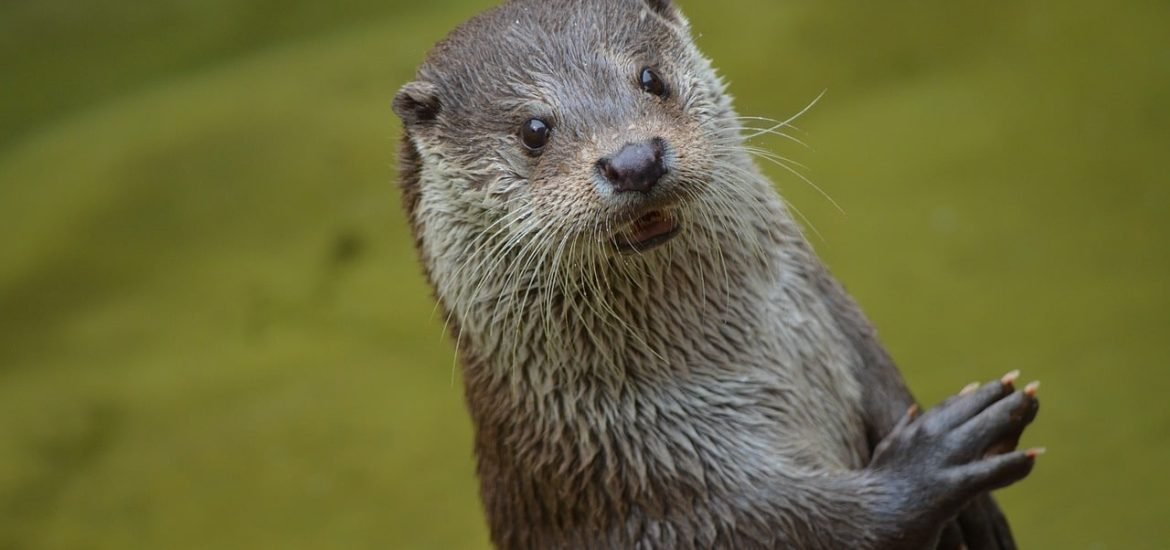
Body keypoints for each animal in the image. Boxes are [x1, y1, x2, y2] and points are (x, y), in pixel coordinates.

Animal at [393, 2, 1043, 547]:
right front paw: (935, 461)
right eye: (533, 130)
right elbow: (805, 524)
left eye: (650, 78)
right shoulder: (649, 489)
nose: (634, 159)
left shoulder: (838, 318)